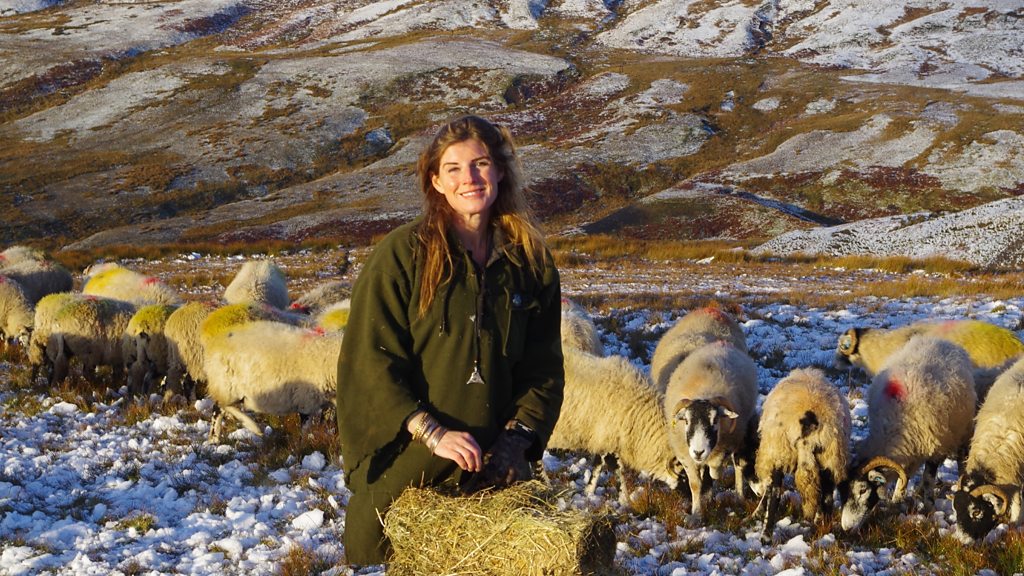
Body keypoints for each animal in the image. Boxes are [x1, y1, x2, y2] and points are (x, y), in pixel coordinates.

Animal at [202, 319, 343, 440]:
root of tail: (213, 342)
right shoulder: (306, 399)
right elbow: (305, 428)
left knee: (224, 406)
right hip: (225, 385)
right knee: (218, 408)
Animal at [547, 347, 680, 503]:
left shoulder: (605, 438)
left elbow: (599, 463)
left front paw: (589, 491)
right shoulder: (608, 435)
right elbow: (616, 468)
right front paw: (624, 499)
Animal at [663, 340, 759, 519]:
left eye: (715, 421)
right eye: (686, 421)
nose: (698, 452)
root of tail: (722, 344)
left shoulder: (723, 449)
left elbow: (714, 472)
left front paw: (708, 494)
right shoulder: (686, 456)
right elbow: (695, 484)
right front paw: (696, 512)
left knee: (738, 466)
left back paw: (739, 494)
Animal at [754, 367, 851, 542]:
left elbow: (771, 490)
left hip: (780, 450)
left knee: (775, 493)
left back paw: (765, 536)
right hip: (830, 457)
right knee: (827, 497)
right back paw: (824, 531)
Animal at [839, 335, 977, 532]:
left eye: (863, 490)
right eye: (842, 491)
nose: (846, 528)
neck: (892, 425)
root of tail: (938, 339)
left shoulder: (935, 448)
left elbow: (928, 479)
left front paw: (929, 508)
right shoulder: (910, 450)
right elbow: (903, 476)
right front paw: (896, 502)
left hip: (962, 429)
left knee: (961, 458)